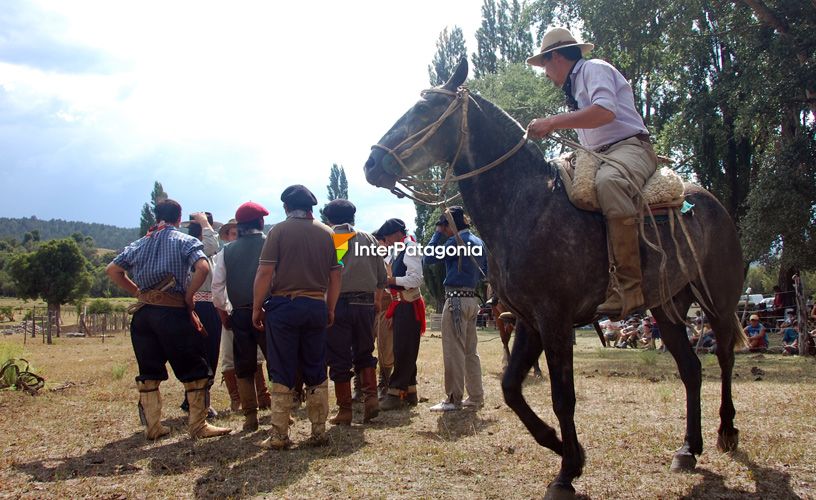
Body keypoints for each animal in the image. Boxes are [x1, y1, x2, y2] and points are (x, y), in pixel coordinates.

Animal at [366, 59, 748, 500]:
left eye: (425, 109)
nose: (371, 164)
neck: (525, 206)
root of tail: (711, 204)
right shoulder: (529, 322)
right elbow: (510, 387)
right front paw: (565, 447)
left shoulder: (555, 321)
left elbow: (563, 397)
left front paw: (566, 471)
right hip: (667, 308)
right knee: (691, 370)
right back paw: (688, 447)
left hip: (718, 301)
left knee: (724, 357)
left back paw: (727, 431)